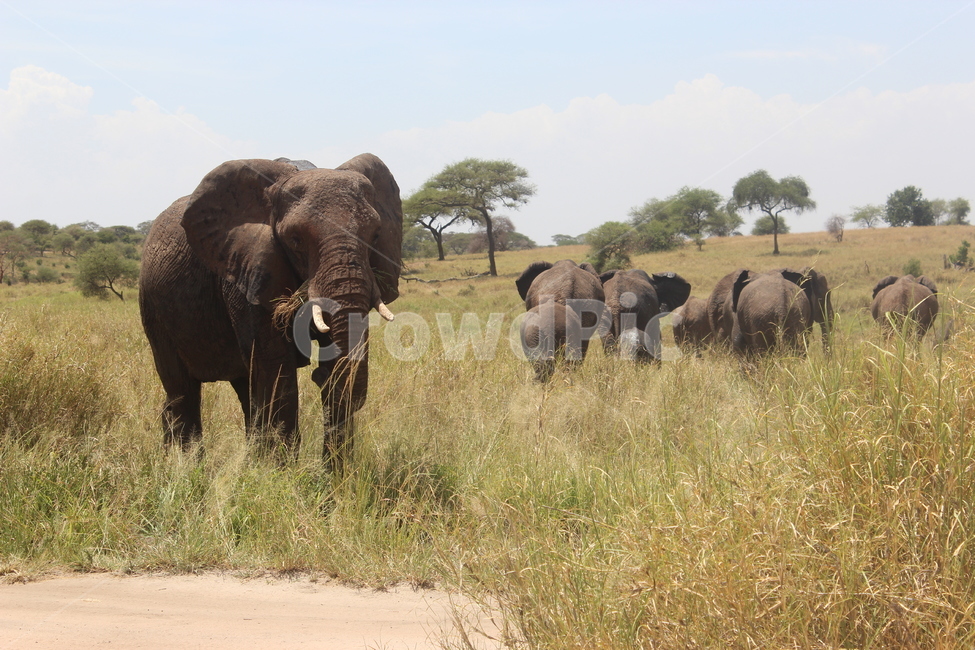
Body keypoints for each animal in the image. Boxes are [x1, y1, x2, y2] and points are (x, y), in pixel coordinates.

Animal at [139, 154, 403, 464]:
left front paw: (333, 476)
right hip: (154, 309)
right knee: (183, 389)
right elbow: (276, 367)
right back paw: (189, 466)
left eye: (375, 236)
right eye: (295, 240)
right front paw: (282, 473)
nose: (318, 374)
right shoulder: (250, 272)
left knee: (245, 389)